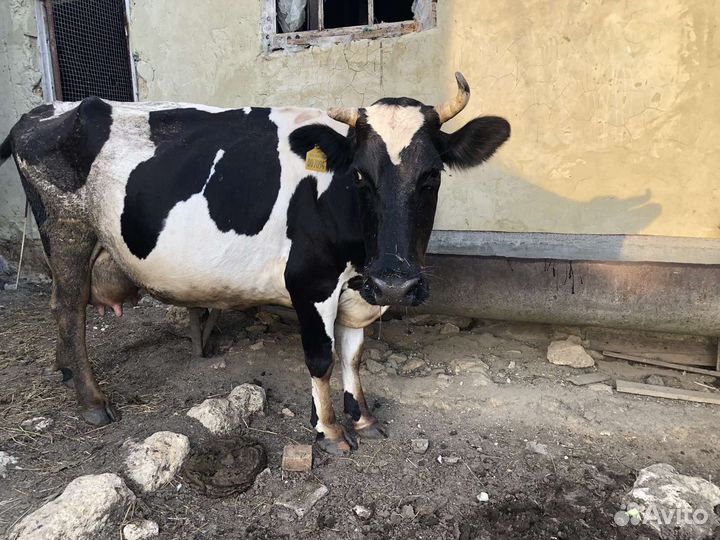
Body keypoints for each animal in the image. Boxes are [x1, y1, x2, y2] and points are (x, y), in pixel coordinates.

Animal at [0, 73, 510, 455]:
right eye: (361, 176)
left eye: (431, 177)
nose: (396, 285)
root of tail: (47, 109)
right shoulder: (310, 282)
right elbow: (321, 356)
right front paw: (329, 430)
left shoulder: (358, 289)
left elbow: (352, 354)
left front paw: (362, 417)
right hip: (68, 232)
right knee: (70, 310)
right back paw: (92, 401)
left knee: (60, 305)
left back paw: (67, 371)